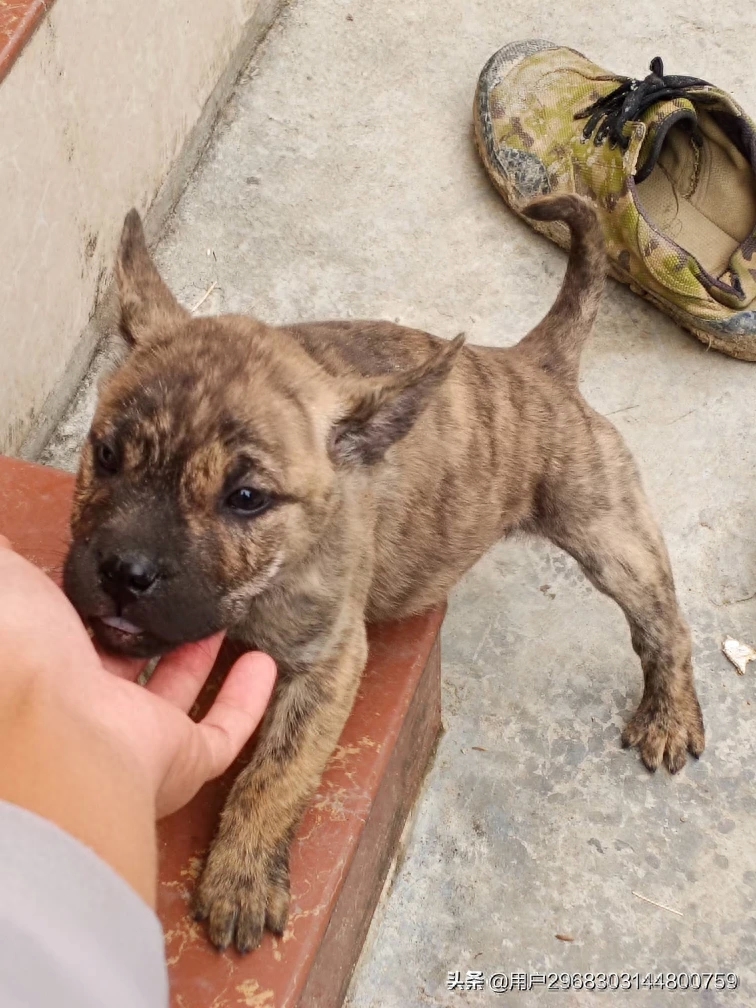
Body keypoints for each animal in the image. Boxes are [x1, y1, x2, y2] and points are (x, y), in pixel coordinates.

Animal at [63, 194, 705, 951]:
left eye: (246, 499)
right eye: (105, 455)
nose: (124, 572)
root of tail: (536, 365)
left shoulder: (328, 662)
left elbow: (276, 774)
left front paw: (241, 876)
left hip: (607, 530)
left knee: (663, 624)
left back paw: (669, 711)